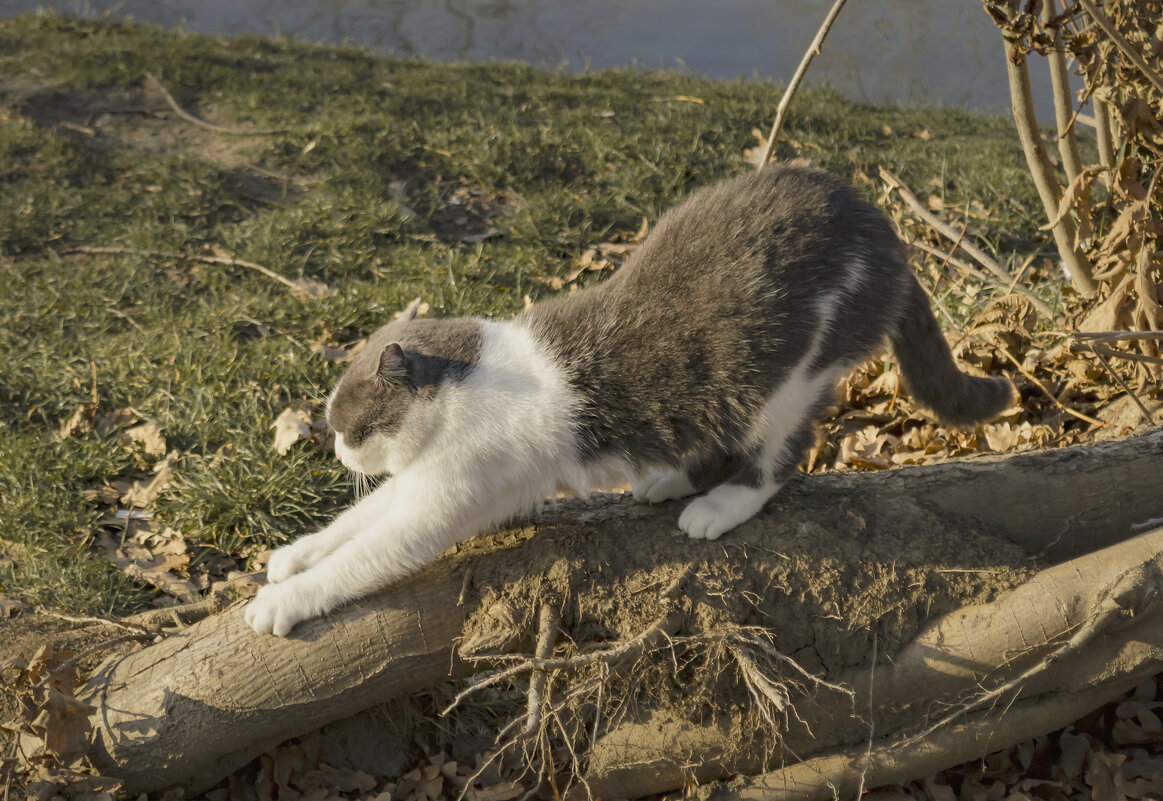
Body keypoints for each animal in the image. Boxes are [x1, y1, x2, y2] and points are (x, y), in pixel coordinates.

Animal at [243, 163, 1009, 637]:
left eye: (351, 427)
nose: (340, 454)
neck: (464, 386)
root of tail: (883, 230)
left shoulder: (448, 493)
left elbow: (368, 553)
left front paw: (285, 601)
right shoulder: (424, 479)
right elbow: (355, 522)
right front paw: (296, 555)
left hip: (785, 382)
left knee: (779, 457)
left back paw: (718, 505)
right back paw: (667, 479)